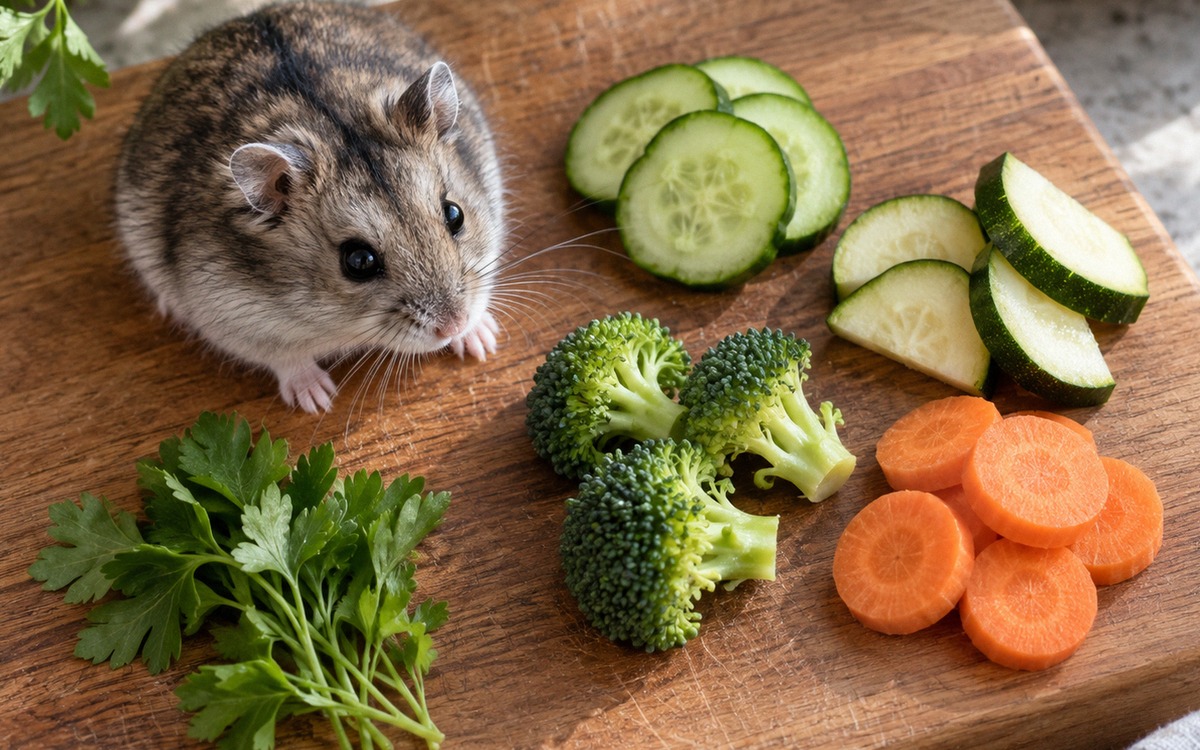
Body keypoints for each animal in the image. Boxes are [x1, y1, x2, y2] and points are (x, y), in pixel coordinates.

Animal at [114, 1, 506, 413]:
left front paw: (483, 341)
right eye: (358, 261)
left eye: (455, 215)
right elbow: (287, 360)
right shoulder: (232, 319)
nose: (453, 325)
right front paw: (318, 400)